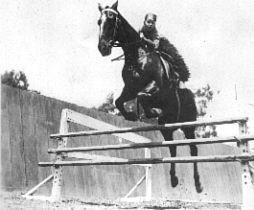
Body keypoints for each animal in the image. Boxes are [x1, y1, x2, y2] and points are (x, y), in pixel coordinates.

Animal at [96, 0, 202, 193]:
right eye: (99, 22)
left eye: (112, 19)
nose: (103, 48)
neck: (138, 56)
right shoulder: (129, 88)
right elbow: (119, 101)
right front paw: (132, 115)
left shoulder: (155, 87)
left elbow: (143, 95)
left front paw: (151, 112)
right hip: (167, 129)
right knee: (173, 148)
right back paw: (173, 179)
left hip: (189, 125)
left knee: (193, 149)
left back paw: (198, 184)